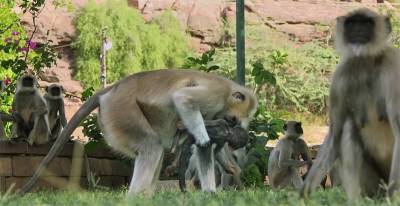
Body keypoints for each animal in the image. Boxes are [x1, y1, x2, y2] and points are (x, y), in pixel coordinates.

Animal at [18, 69, 258, 195]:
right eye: (235, 119)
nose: (235, 125)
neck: (227, 93)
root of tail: (111, 90)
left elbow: (202, 149)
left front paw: (210, 194)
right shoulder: (215, 95)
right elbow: (184, 99)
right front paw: (203, 139)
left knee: (156, 148)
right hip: (121, 111)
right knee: (151, 146)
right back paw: (137, 196)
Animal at [302, 8, 400, 200]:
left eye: (366, 23)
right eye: (352, 23)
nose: (358, 30)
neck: (366, 61)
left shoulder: (394, 67)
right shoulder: (340, 76)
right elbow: (334, 136)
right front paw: (303, 196)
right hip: (373, 186)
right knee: (348, 128)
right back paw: (355, 200)